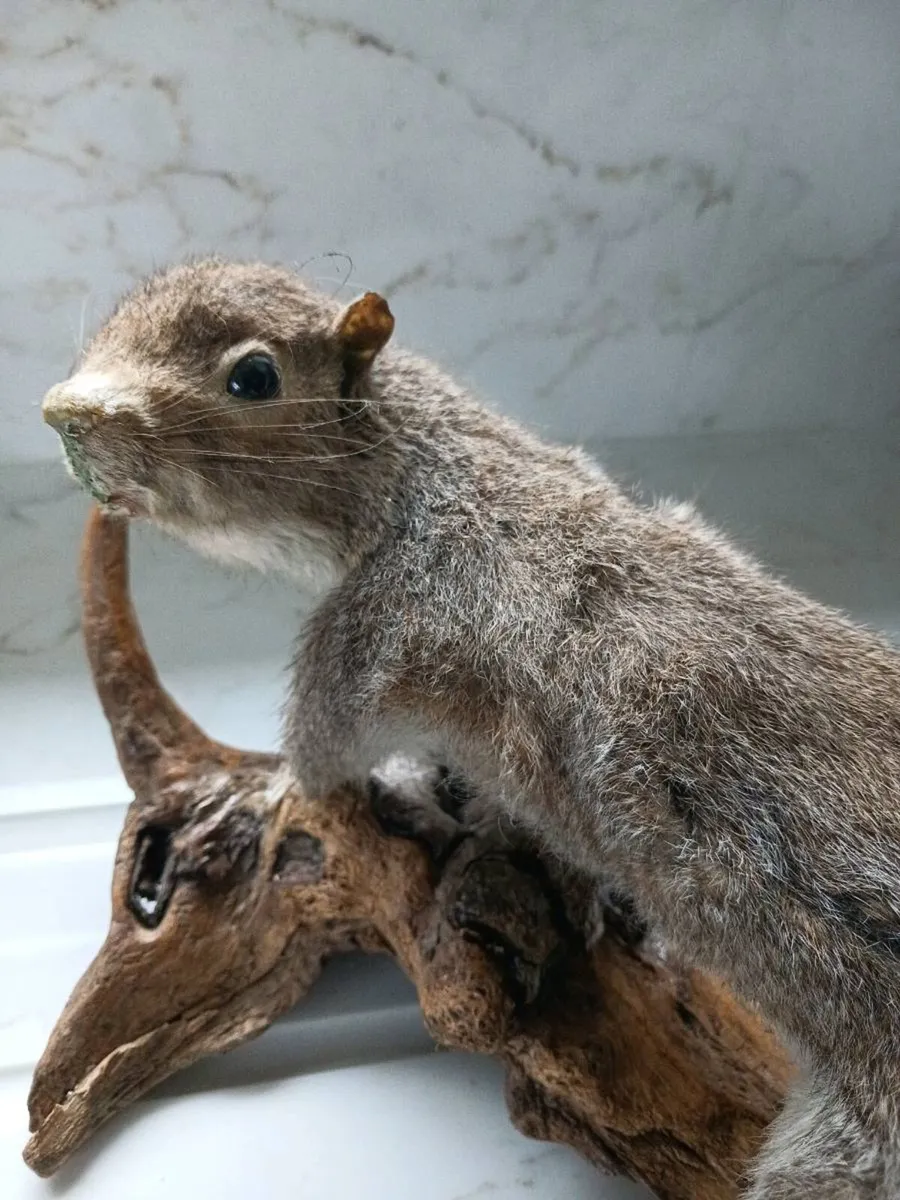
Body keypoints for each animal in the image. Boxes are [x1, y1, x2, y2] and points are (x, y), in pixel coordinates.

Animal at [43, 258, 900, 1198]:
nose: (62, 411)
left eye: (254, 378)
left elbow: (322, 756)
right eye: (114, 321)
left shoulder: (372, 626)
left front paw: (289, 790)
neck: (430, 458)